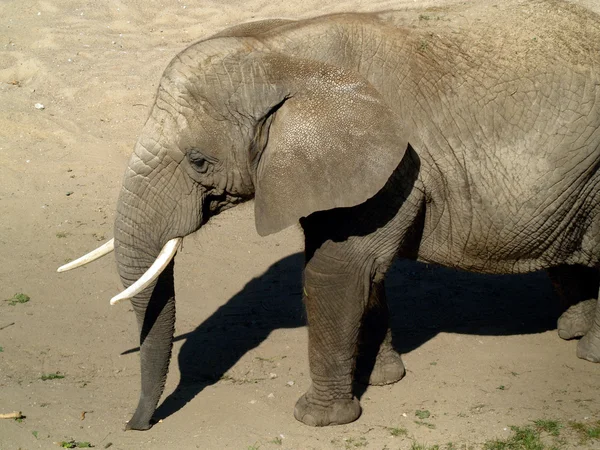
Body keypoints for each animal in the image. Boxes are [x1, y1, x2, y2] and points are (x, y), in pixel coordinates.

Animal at [59, 1, 600, 430]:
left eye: (199, 162)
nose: (136, 425)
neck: (285, 52)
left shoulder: (393, 164)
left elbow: (335, 270)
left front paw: (317, 419)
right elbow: (362, 273)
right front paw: (382, 380)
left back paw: (588, 352)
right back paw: (572, 330)